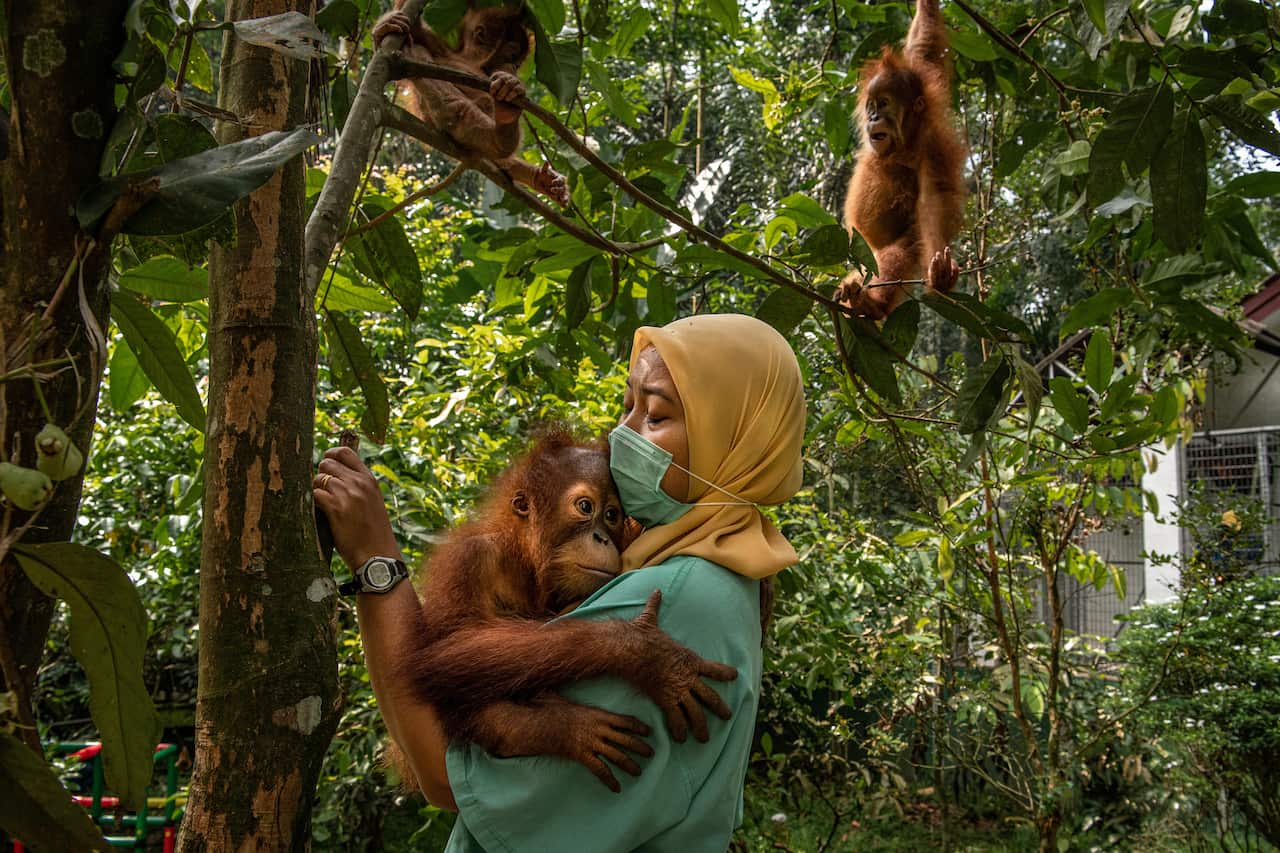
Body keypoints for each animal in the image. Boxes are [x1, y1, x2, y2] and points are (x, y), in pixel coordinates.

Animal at [374, 1, 569, 205]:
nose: (514, 68)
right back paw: (502, 133)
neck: (471, 60)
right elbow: (416, 35)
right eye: (511, 55)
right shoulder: (438, 47)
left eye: (518, 62)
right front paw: (384, 28)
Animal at [394, 429, 737, 792]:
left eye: (612, 515)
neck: (527, 563)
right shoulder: (469, 561)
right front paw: (639, 654)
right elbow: (448, 654)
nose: (602, 538)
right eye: (585, 507)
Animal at [836, 0, 966, 320]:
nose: (873, 117)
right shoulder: (924, 70)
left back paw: (871, 305)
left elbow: (933, 200)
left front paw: (941, 276)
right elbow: (923, 47)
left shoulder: (933, 148)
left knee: (898, 253)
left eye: (884, 103)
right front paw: (927, 5)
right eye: (871, 105)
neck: (905, 141)